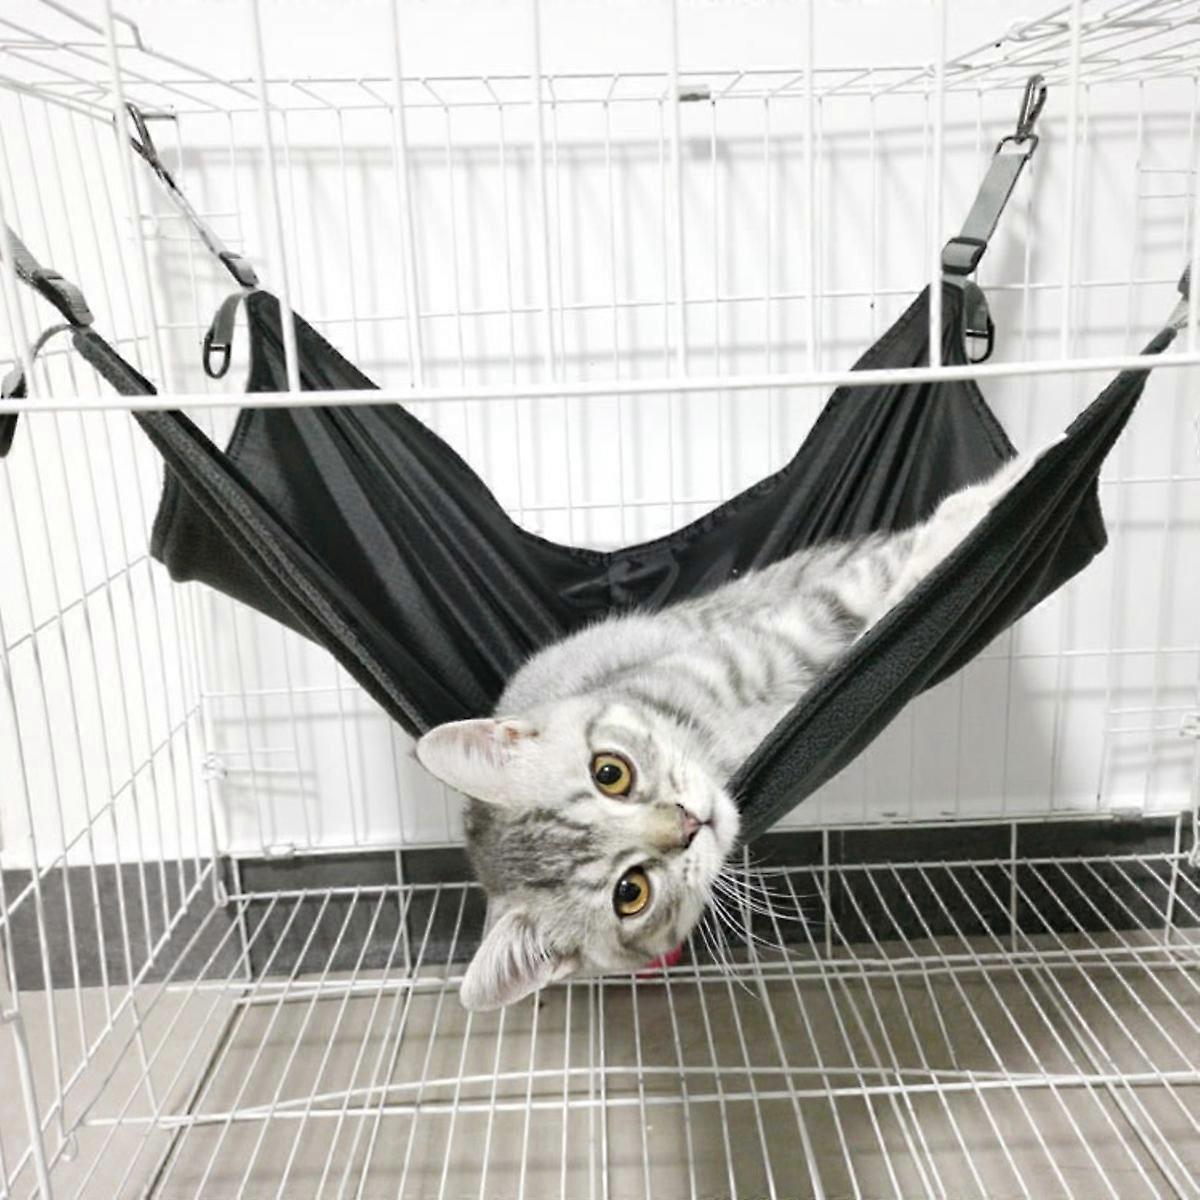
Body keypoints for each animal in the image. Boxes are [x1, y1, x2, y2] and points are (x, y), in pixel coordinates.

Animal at [416, 447, 1045, 1010]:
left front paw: (1004, 485)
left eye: (610, 773)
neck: (719, 738)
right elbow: (876, 593)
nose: (688, 822)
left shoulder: (778, 634)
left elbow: (884, 575)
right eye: (630, 892)